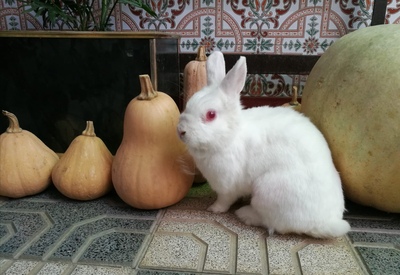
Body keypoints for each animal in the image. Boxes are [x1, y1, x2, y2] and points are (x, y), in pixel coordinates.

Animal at [178, 51, 350, 239]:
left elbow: (224, 200)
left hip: (266, 192)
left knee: (273, 223)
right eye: (188, 104)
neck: (230, 136)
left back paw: (245, 214)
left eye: (211, 115)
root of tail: (326, 222)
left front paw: (214, 209)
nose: (181, 131)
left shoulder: (227, 184)